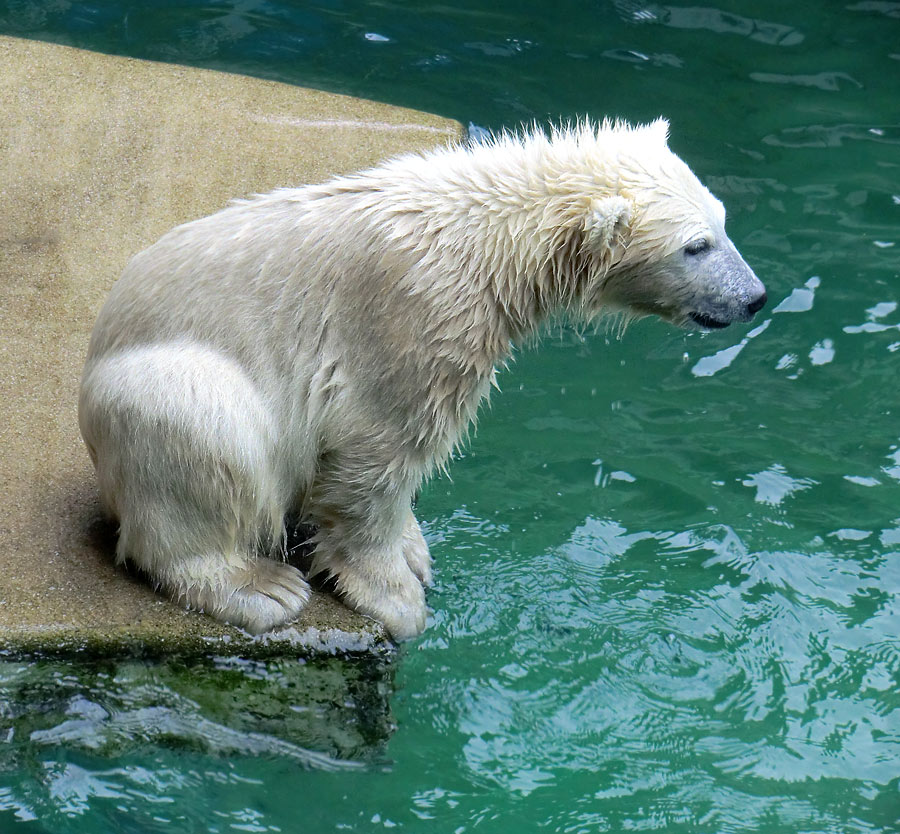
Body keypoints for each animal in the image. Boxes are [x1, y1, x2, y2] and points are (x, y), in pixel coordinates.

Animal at [79, 117, 768, 636]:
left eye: (722, 220)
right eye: (695, 246)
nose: (756, 297)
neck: (490, 240)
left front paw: (414, 547)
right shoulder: (415, 316)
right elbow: (378, 453)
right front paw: (395, 597)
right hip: (165, 386)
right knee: (209, 435)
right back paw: (261, 587)